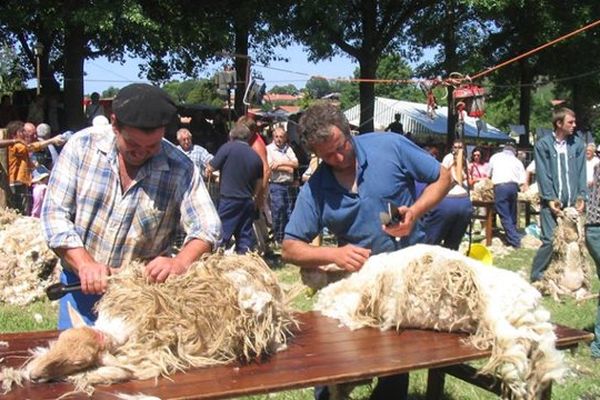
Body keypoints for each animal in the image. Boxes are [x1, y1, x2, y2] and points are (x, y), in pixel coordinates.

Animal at [1, 253, 296, 394]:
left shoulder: (153, 359)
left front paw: (84, 377)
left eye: (78, 362)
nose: (34, 375)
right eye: (60, 341)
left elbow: (121, 373)